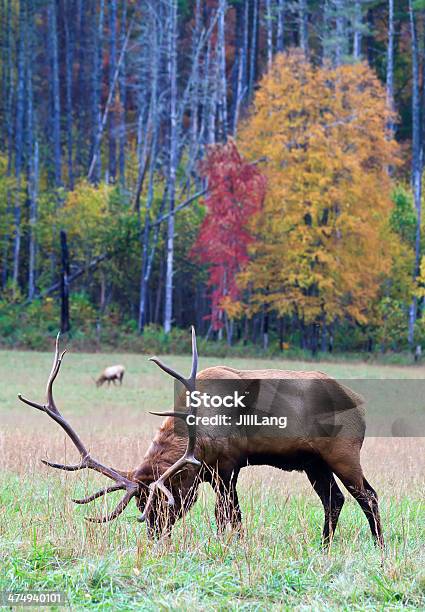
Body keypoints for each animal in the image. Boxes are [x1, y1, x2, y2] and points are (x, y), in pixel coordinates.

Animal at [19, 328, 384, 548]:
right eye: (140, 503)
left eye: (166, 501)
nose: (155, 538)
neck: (200, 439)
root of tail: (362, 404)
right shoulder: (212, 473)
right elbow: (231, 515)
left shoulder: (229, 466)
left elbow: (228, 516)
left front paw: (231, 545)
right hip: (313, 462)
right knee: (334, 499)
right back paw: (324, 546)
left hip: (344, 452)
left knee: (368, 495)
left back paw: (379, 545)